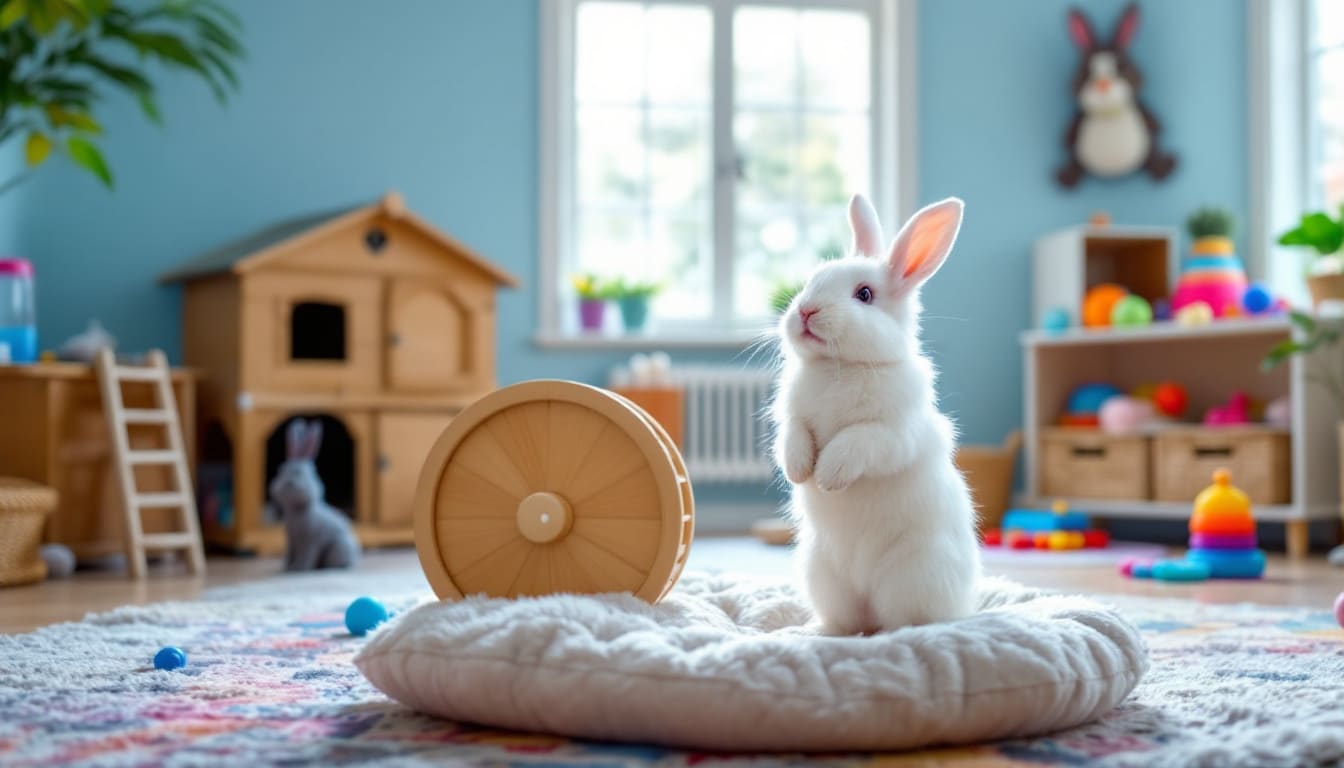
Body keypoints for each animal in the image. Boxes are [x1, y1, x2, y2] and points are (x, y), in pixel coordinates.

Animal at [270, 419, 362, 570]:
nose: (287, 484)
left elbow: (306, 555)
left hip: (339, 547)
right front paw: (287, 568)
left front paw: (299, 568)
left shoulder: (310, 540)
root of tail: (356, 554)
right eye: (280, 472)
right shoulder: (291, 540)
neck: (297, 510)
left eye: (298, 473)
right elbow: (289, 554)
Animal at [774, 193, 983, 637]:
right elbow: (793, 438)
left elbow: (855, 442)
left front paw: (827, 477)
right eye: (813, 279)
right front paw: (799, 471)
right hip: (822, 576)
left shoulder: (892, 433)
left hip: (912, 576)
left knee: (901, 621)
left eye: (865, 294)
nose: (805, 311)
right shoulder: (793, 419)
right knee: (846, 621)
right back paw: (815, 631)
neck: (841, 366)